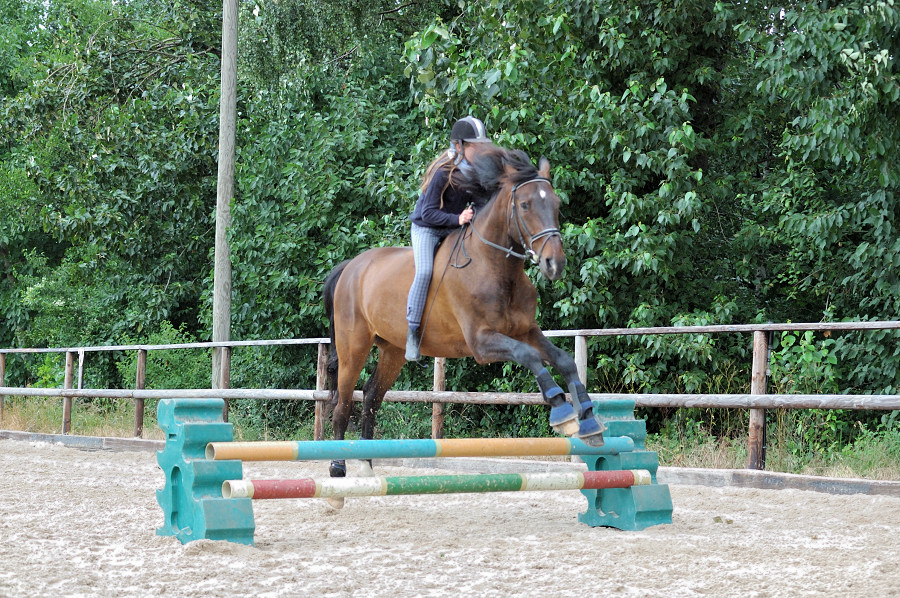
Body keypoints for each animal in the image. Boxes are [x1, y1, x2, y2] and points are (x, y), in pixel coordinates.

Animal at [324, 145, 604, 488]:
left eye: (556, 204)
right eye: (525, 205)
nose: (555, 263)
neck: (497, 268)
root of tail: (350, 266)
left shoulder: (526, 331)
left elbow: (563, 360)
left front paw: (588, 422)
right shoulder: (482, 343)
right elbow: (529, 356)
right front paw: (562, 412)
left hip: (393, 350)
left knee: (371, 397)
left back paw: (366, 465)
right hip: (354, 347)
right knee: (343, 401)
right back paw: (338, 466)